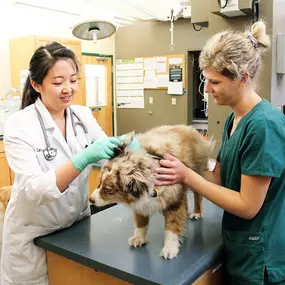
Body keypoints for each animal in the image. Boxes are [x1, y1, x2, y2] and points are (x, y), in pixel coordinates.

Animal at [89, 125, 213, 258]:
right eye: (99, 182)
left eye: (108, 189)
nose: (90, 199)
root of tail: (190, 128)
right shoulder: (140, 203)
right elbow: (140, 222)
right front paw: (139, 238)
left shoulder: (173, 200)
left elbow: (172, 226)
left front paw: (170, 247)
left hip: (196, 175)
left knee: (198, 196)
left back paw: (196, 213)